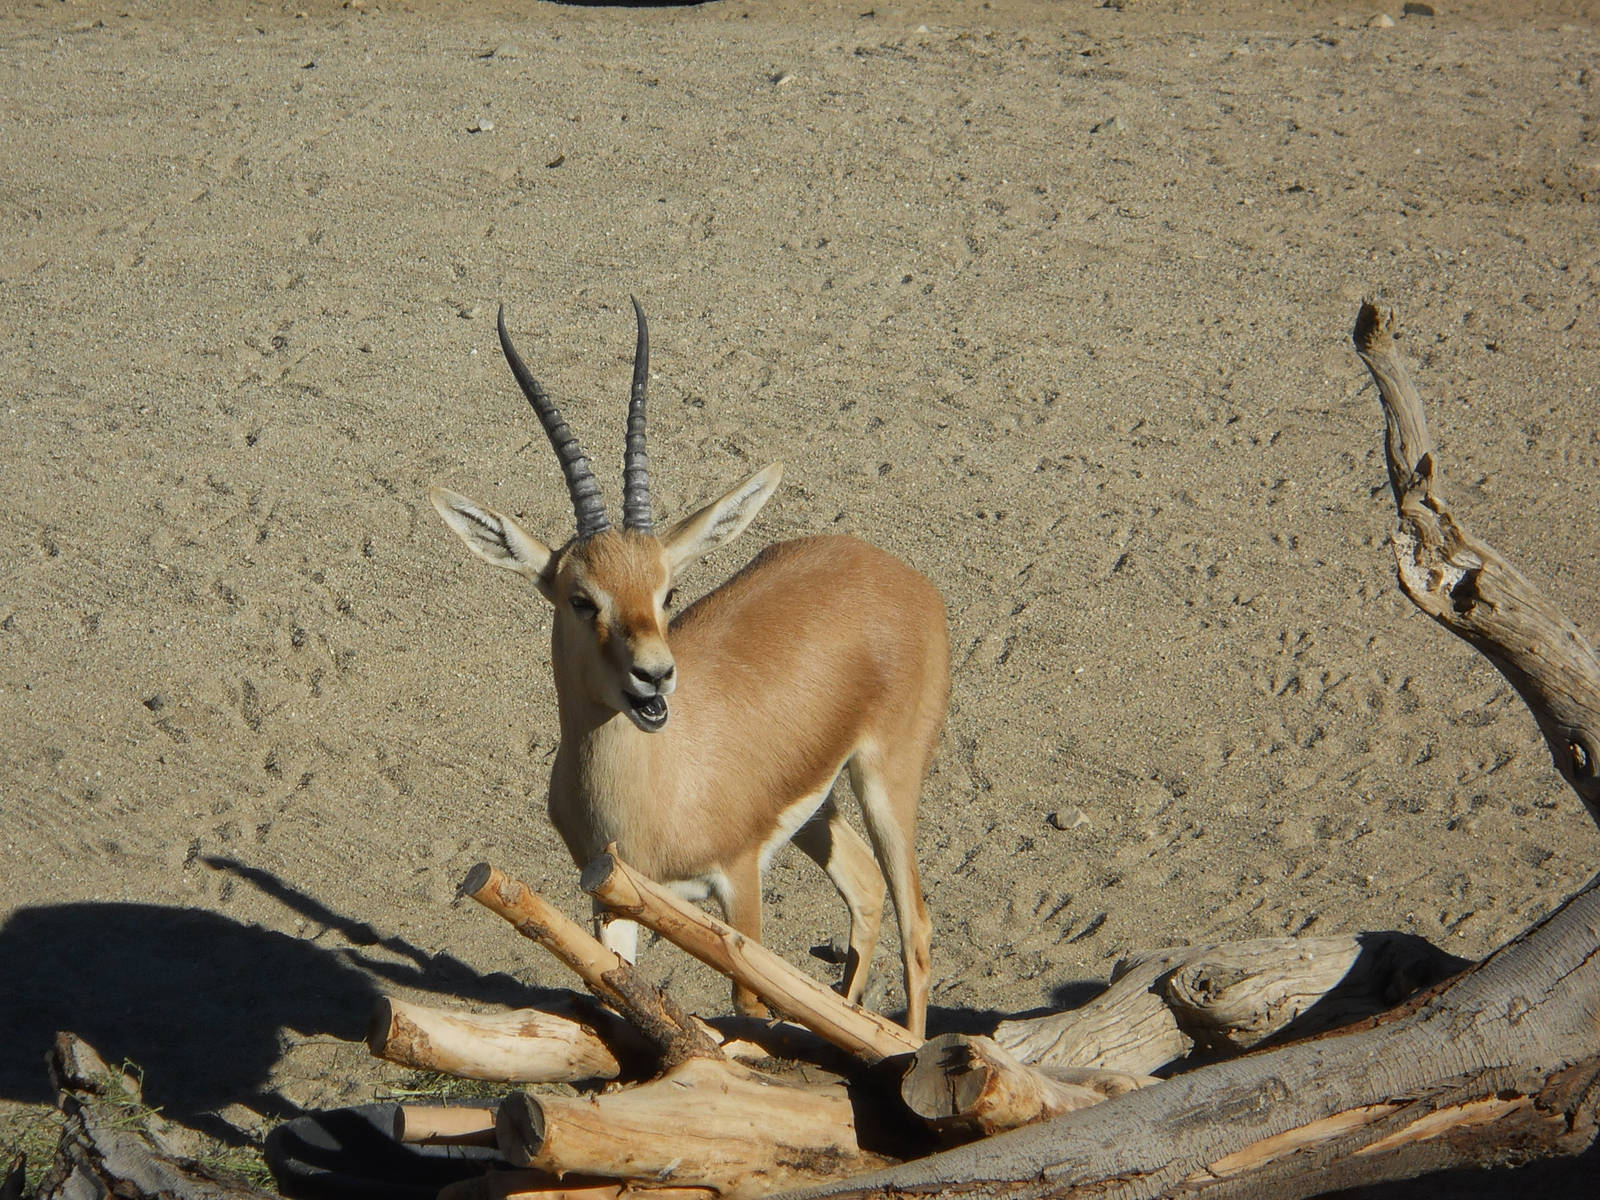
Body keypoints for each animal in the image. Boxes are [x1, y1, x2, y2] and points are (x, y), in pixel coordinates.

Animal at [430, 300, 948, 1038]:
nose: (654, 677)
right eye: (581, 598)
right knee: (867, 889)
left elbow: (750, 1002)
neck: (649, 794)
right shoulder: (613, 897)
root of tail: (898, 573)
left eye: (667, 592)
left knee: (916, 924)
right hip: (820, 807)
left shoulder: (739, 878)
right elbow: (620, 993)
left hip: (886, 781)